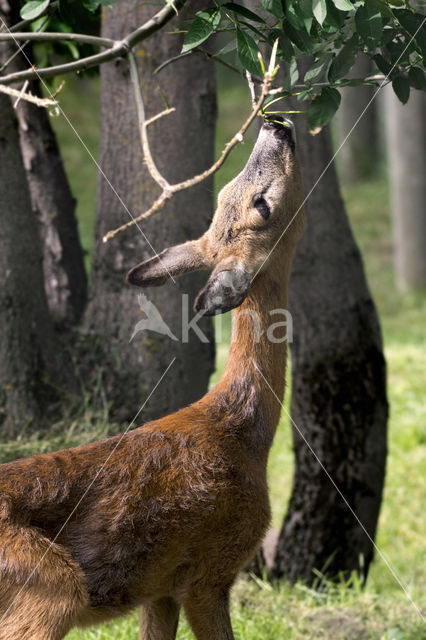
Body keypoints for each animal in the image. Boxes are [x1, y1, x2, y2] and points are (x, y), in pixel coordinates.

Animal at [0, 116, 306, 640]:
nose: (275, 124)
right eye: (261, 204)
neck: (243, 431)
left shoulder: (158, 588)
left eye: (230, 191)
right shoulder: (210, 570)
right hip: (50, 586)